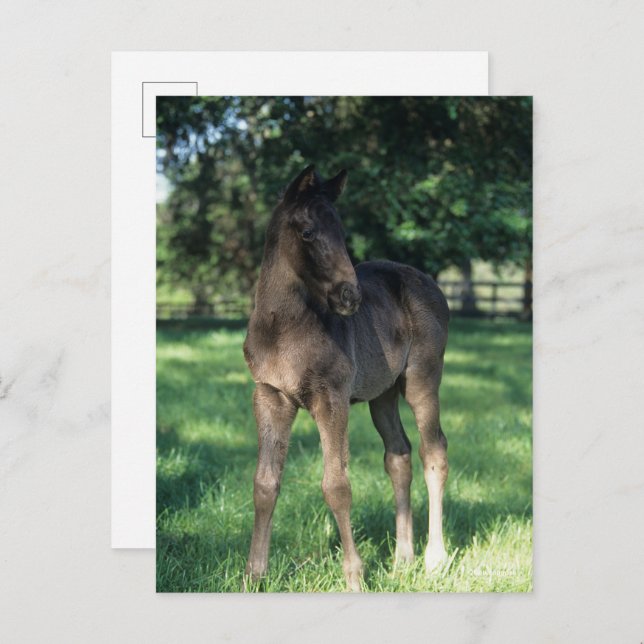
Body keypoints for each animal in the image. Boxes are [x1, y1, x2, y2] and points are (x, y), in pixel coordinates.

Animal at [243, 165, 450, 591]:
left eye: (341, 229)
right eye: (307, 231)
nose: (349, 296)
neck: (283, 329)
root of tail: (432, 284)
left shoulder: (331, 398)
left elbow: (336, 485)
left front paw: (354, 577)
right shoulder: (270, 396)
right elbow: (265, 483)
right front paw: (253, 576)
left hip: (423, 378)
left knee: (433, 450)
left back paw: (434, 560)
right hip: (383, 393)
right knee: (399, 454)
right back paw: (401, 560)